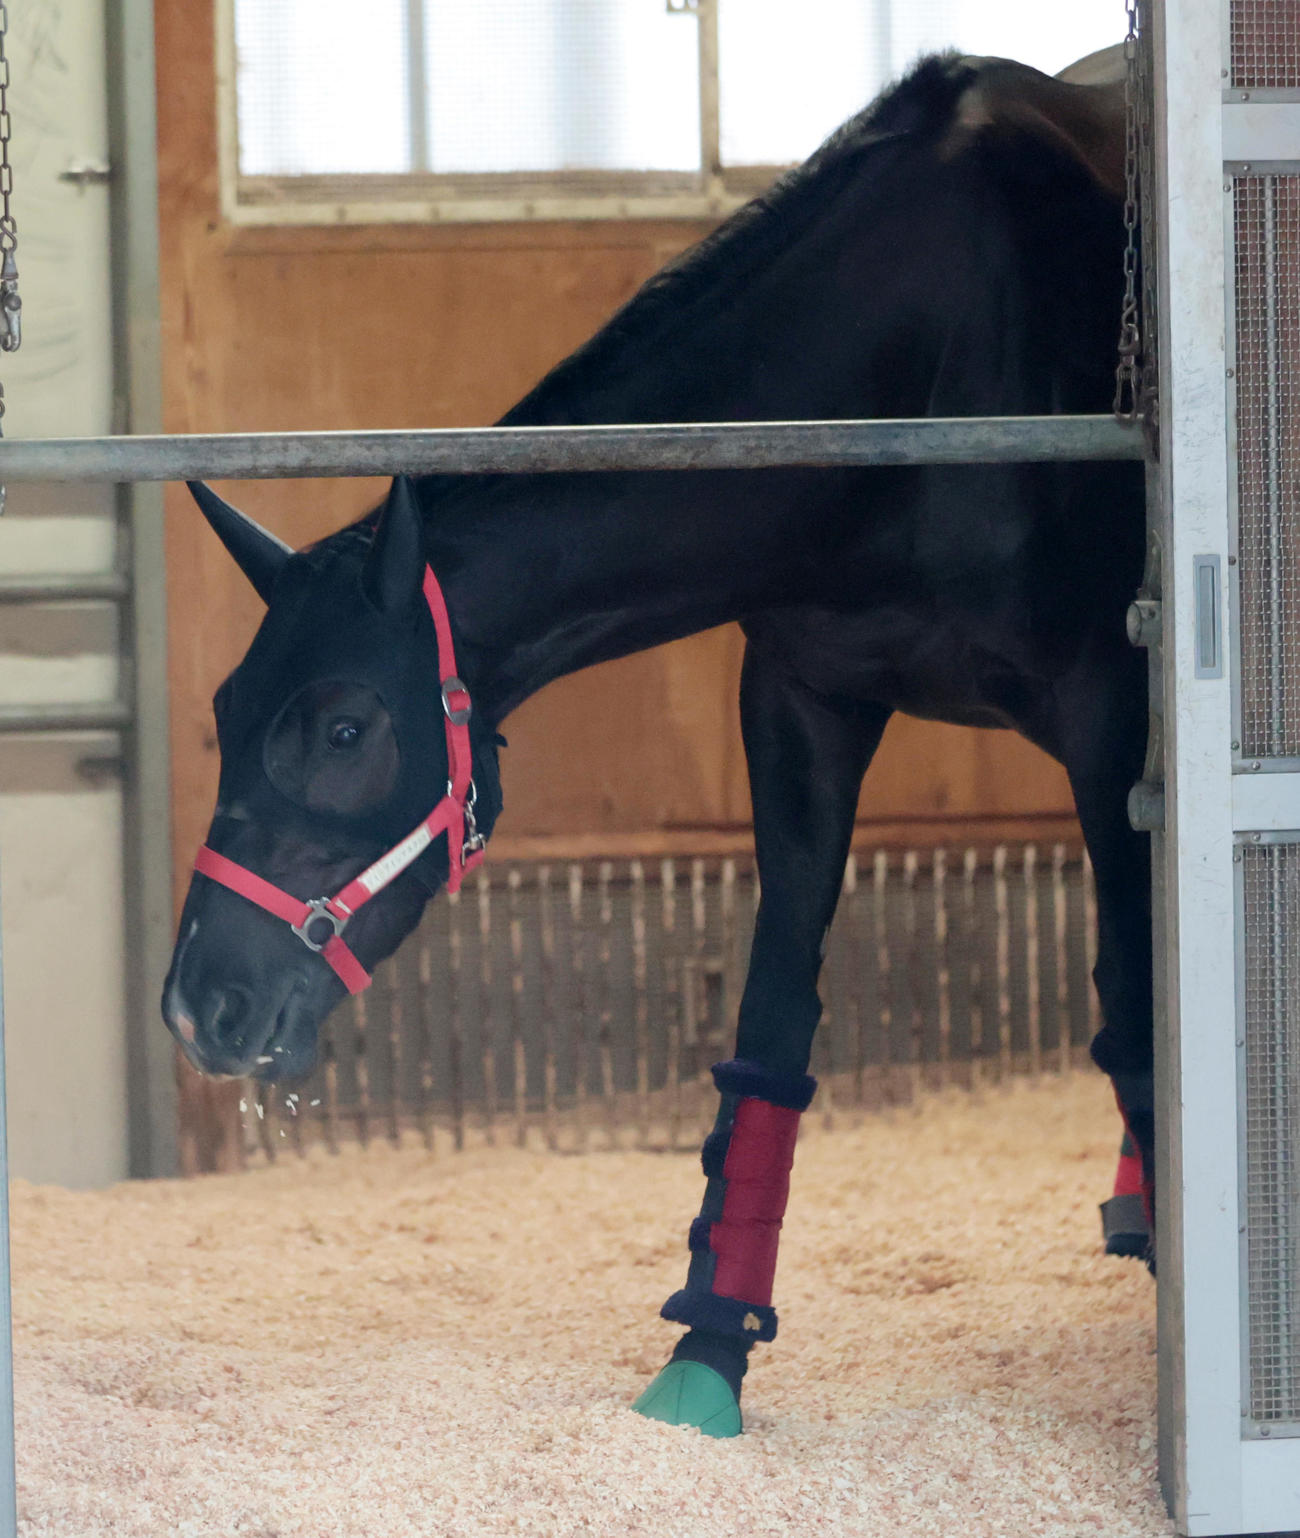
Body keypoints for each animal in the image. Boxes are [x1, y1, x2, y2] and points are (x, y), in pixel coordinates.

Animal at [162, 51, 1151, 1437]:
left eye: (346, 726)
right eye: (223, 714)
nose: (200, 1003)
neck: (922, 363)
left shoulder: (1108, 712)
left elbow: (1135, 1007)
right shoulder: (802, 702)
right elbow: (774, 1022)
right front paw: (708, 1352)